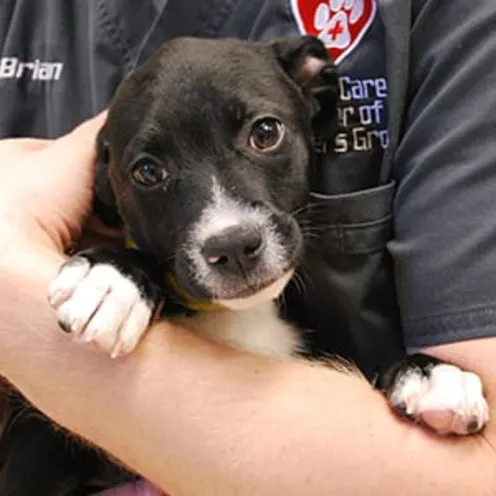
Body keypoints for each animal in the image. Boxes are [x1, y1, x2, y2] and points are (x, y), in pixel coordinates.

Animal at [0, 35, 488, 496]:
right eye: (147, 172)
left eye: (266, 132)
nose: (233, 246)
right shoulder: (30, 451)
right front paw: (112, 277)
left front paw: (428, 373)